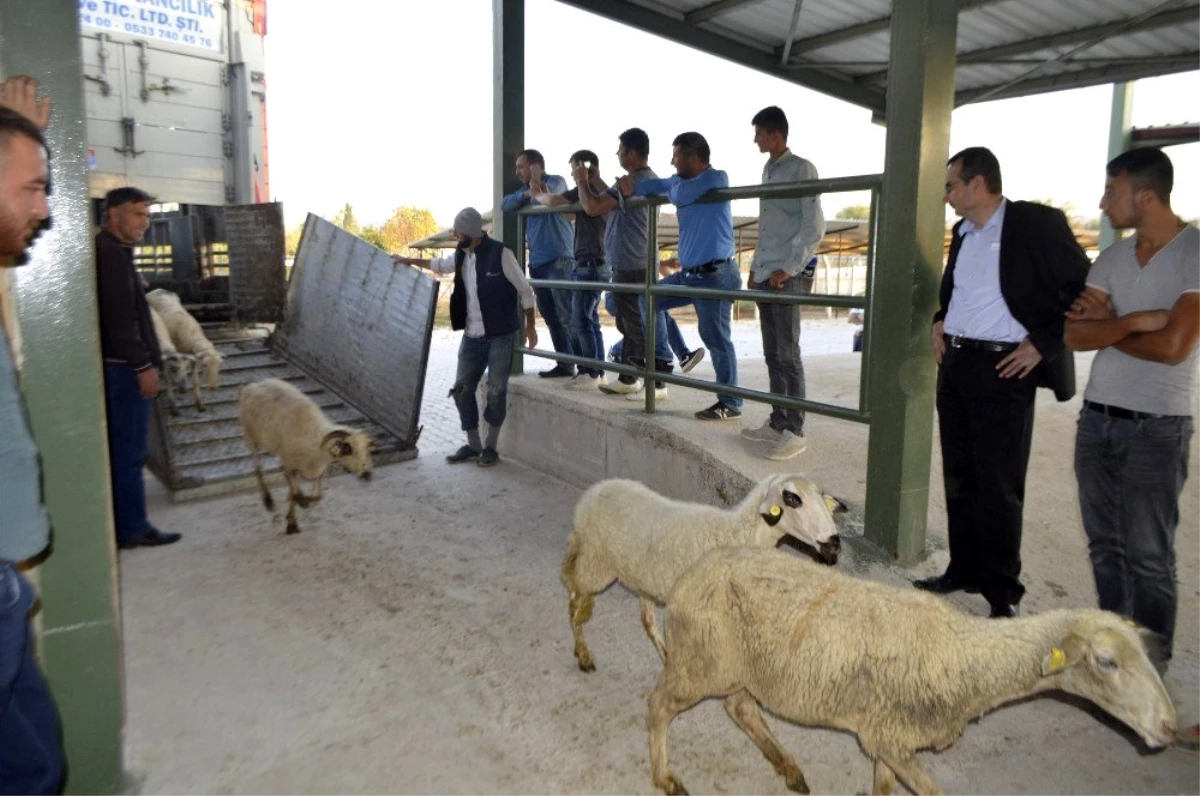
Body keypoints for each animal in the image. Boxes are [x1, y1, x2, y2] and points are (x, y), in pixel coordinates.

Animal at [238, 379, 374, 535]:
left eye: (366, 449)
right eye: (347, 448)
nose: (367, 474)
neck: (314, 439)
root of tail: (256, 383)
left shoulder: (317, 471)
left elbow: (317, 496)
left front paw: (299, 508)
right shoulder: (289, 466)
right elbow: (296, 493)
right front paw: (293, 519)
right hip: (250, 435)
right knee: (257, 465)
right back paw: (268, 500)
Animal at [556, 475, 840, 677]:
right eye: (793, 498)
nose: (834, 543)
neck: (736, 534)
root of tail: (592, 493)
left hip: (639, 576)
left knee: (643, 620)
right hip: (597, 563)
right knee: (575, 597)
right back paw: (583, 654)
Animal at [643, 547, 1176, 796]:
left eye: (1149, 653)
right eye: (1107, 662)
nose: (1170, 726)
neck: (965, 654)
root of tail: (688, 574)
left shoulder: (888, 737)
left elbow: (883, 787)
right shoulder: (891, 738)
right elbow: (932, 790)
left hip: (739, 666)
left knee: (740, 708)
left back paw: (790, 769)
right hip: (701, 659)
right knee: (659, 705)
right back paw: (666, 777)